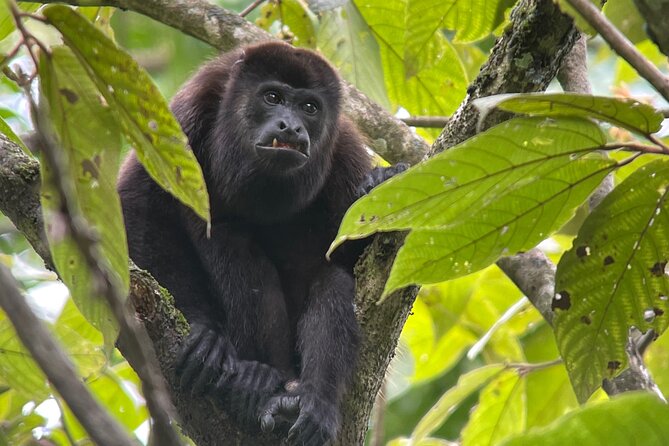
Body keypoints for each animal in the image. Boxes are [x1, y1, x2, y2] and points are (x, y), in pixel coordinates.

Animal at [117, 42, 404, 446]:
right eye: (272, 98)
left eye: (310, 107)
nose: (291, 126)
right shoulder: (185, 115)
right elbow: (141, 206)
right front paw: (206, 333)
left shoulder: (345, 154)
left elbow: (359, 267)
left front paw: (380, 185)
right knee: (229, 236)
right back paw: (257, 378)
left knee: (333, 285)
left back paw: (312, 401)